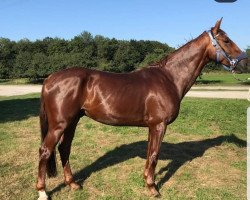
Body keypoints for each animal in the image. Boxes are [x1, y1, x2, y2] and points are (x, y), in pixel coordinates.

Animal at [36, 19, 247, 198]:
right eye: (226, 40)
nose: (245, 62)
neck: (169, 77)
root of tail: (49, 79)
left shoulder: (152, 126)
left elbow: (149, 153)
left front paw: (146, 181)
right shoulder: (159, 125)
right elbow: (154, 155)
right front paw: (153, 188)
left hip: (73, 121)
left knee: (64, 148)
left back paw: (72, 184)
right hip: (59, 124)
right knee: (46, 151)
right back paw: (42, 192)